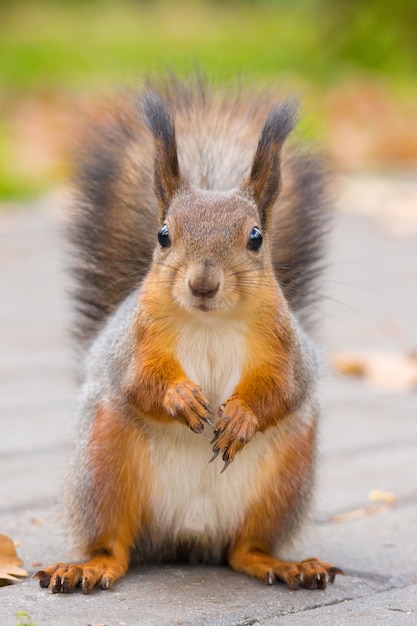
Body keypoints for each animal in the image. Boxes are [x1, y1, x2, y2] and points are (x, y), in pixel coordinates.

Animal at [35, 75, 342, 592]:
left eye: (255, 237)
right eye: (163, 235)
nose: (202, 283)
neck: (209, 321)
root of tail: (189, 537)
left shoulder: (285, 347)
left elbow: (282, 388)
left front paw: (240, 417)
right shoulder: (134, 343)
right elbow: (140, 381)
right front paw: (181, 398)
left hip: (286, 478)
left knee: (244, 549)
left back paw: (285, 565)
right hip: (103, 463)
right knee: (116, 545)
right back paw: (89, 567)